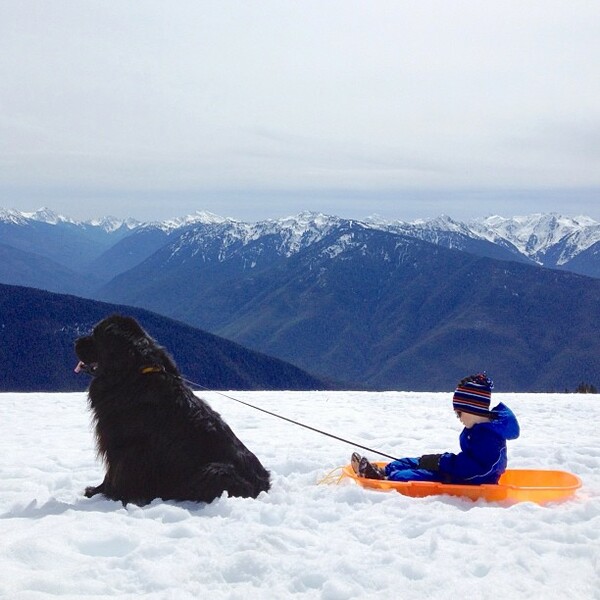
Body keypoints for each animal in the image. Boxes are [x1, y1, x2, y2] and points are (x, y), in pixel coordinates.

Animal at [74, 314, 270, 506]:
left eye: (96, 335)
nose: (76, 341)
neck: (131, 373)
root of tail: (264, 483)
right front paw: (97, 491)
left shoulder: (125, 446)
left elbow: (117, 472)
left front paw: (112, 496)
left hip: (216, 471)